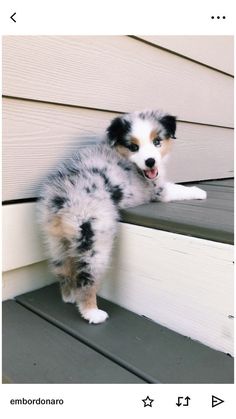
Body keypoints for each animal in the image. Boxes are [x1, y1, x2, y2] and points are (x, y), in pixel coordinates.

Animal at [37, 110, 206, 324]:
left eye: (157, 141)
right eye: (133, 147)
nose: (150, 161)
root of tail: (61, 199)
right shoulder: (157, 190)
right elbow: (176, 188)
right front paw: (199, 191)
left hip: (55, 241)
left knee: (63, 269)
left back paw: (69, 296)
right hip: (95, 239)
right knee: (87, 278)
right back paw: (92, 312)